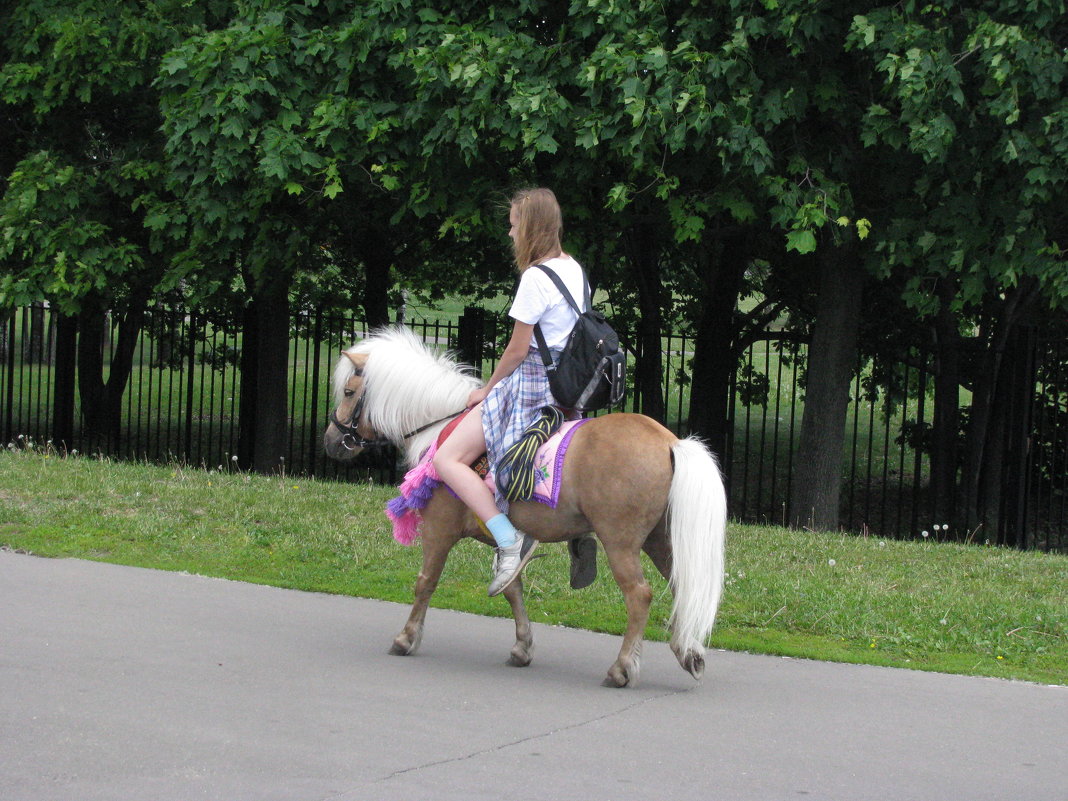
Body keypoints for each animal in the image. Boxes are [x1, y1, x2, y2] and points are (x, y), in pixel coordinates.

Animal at [322, 326, 726, 692]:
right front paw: (522, 646)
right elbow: (511, 587)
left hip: (621, 542)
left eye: (348, 392)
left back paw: (622, 668)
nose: (331, 441)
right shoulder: (508, 544)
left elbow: (426, 582)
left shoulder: (438, 529)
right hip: (661, 539)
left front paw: (406, 638)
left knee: (640, 596)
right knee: (682, 587)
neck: (439, 429)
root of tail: (669, 441)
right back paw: (689, 653)